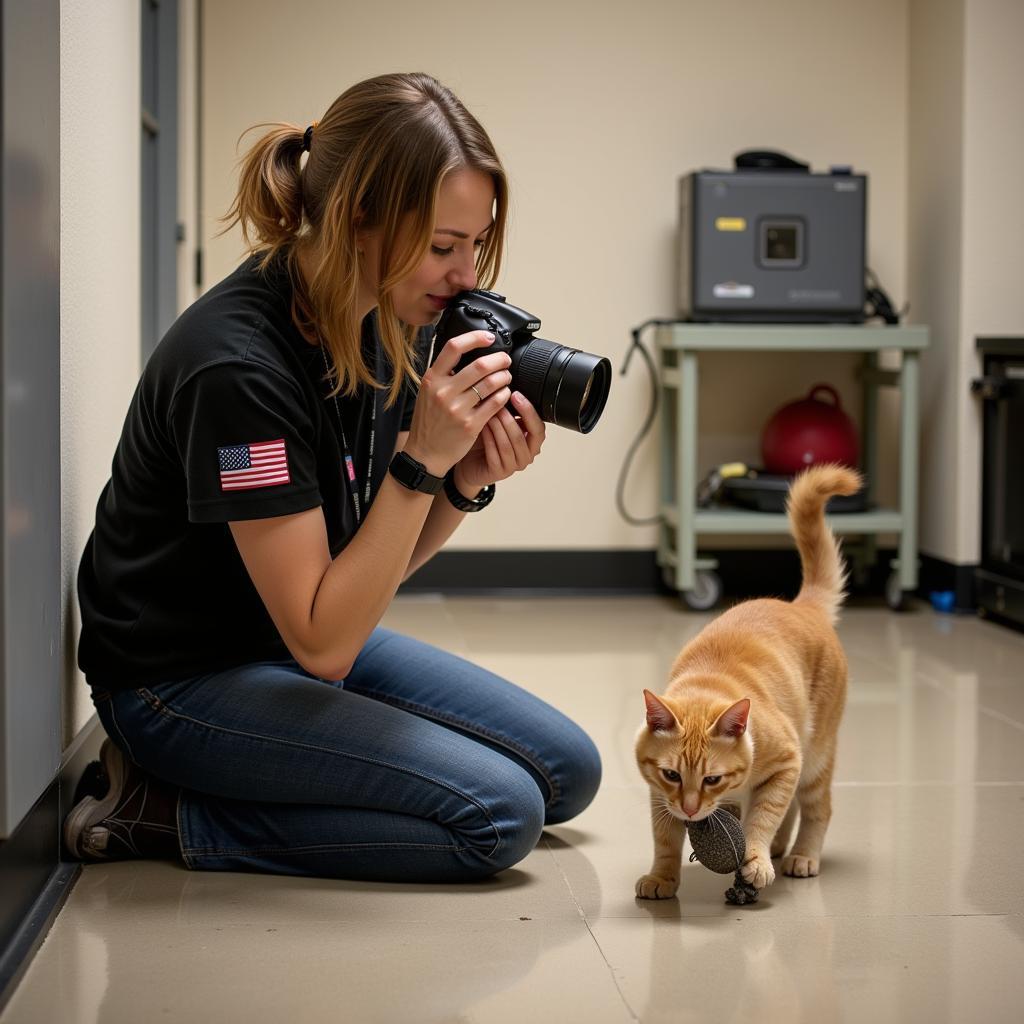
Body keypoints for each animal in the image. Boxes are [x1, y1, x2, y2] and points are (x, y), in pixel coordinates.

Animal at [634, 464, 860, 897]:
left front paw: (754, 858)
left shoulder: (787, 760)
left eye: (712, 779)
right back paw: (779, 847)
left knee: (815, 807)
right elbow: (664, 839)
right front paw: (662, 878)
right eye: (672, 775)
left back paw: (801, 855)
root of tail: (802, 606)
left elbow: (764, 816)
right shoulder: (658, 795)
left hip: (814, 756)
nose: (690, 809)